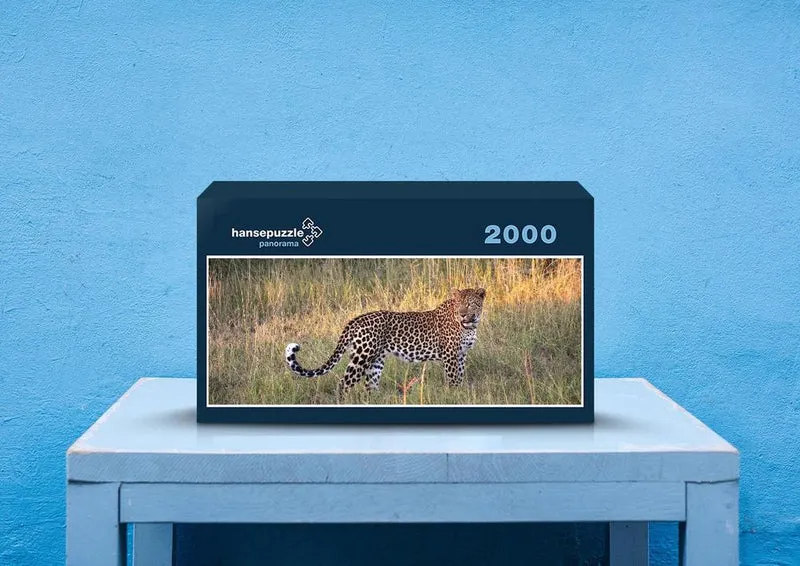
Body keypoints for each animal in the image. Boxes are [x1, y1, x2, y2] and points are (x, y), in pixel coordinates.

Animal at [285, 287, 486, 393]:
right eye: (459, 305)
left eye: (470, 304)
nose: (462, 314)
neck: (470, 325)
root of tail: (356, 319)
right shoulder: (451, 354)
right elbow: (453, 378)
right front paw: (454, 394)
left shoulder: (461, 354)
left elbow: (460, 375)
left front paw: (461, 392)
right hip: (362, 357)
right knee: (343, 384)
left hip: (376, 361)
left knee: (370, 386)